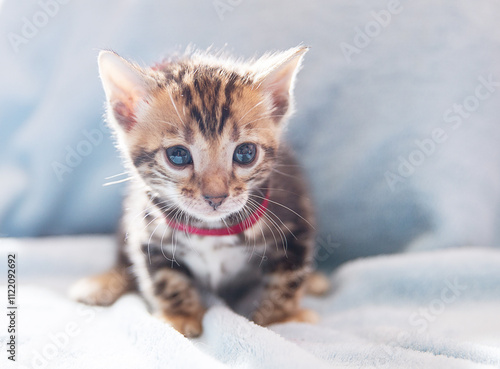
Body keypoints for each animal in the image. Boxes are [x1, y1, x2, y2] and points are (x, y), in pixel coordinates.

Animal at [70, 45, 328, 336]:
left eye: (245, 153)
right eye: (178, 155)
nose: (216, 197)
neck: (210, 230)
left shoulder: (296, 222)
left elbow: (287, 279)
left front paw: (280, 318)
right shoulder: (148, 233)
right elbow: (164, 278)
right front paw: (180, 316)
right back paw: (103, 282)